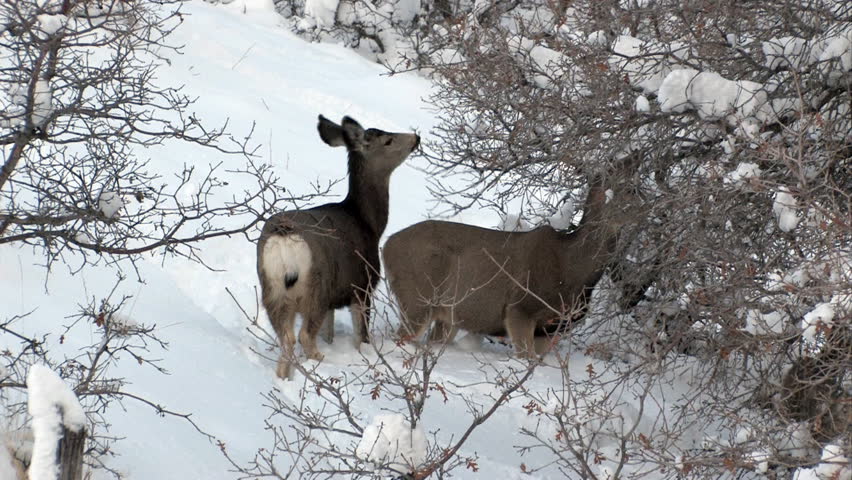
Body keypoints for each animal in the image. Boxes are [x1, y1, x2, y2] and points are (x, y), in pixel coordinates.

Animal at [257, 115, 419, 379]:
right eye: (387, 140)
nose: (416, 137)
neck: (367, 223)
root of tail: (284, 237)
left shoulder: (334, 301)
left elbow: (329, 333)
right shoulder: (362, 285)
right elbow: (361, 336)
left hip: (272, 288)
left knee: (286, 337)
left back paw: (284, 376)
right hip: (317, 286)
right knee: (303, 335)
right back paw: (322, 364)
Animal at [382, 158, 642, 359]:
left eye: (636, 188)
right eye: (627, 191)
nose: (646, 208)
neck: (574, 273)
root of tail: (386, 246)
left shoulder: (550, 330)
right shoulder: (521, 308)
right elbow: (526, 358)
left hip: (446, 315)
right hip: (418, 296)